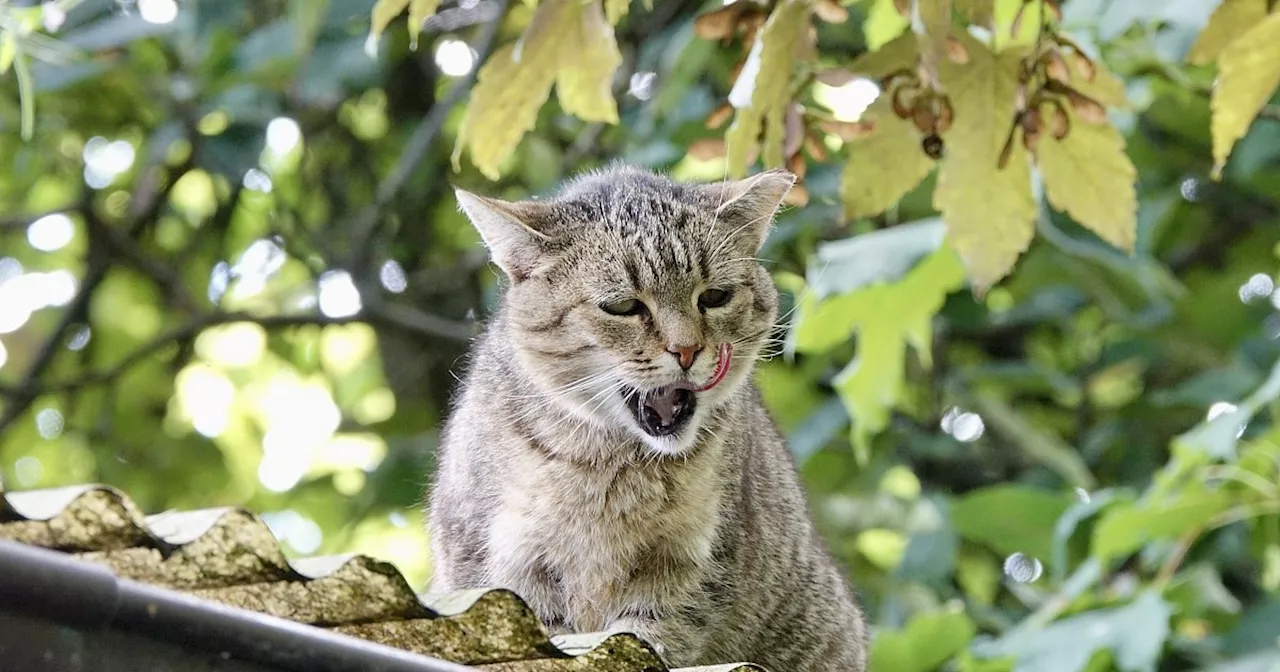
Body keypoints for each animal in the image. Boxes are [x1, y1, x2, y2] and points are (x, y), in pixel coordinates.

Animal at [430, 163, 870, 670]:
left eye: (714, 296)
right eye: (623, 306)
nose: (688, 349)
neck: (610, 467)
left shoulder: (695, 562)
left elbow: (648, 636)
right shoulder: (500, 562)